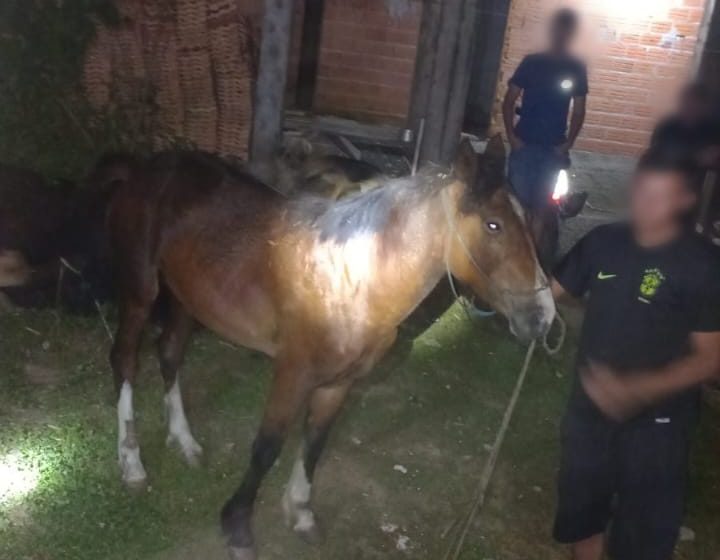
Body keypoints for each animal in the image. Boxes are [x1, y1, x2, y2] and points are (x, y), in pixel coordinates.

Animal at [106, 136, 555, 560]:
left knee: (169, 354)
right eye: (494, 225)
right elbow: (267, 447)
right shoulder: (293, 373)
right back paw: (131, 463)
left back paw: (183, 440)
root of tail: (148, 166)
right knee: (126, 361)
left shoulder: (339, 384)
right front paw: (237, 526)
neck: (351, 279)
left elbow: (315, 443)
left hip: (187, 299)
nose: (543, 317)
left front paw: (301, 512)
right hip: (141, 291)